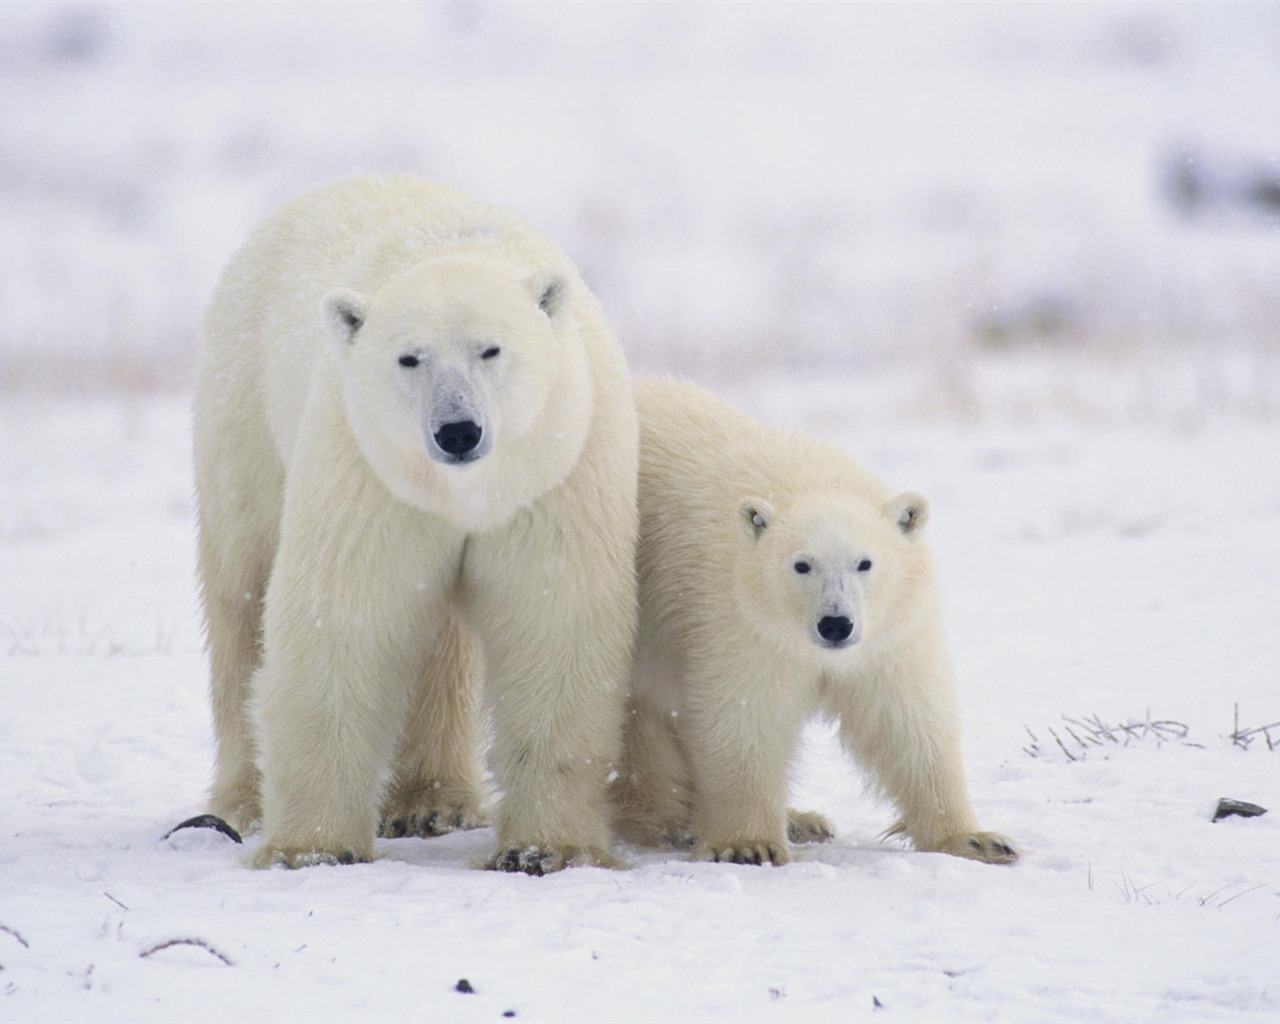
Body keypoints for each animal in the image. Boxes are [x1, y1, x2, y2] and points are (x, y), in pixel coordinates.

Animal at [192, 176, 637, 870]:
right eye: (409, 358)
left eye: (490, 348)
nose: (457, 431)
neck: (464, 492)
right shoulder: (369, 469)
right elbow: (345, 614)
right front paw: (311, 849)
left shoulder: (556, 467)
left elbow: (553, 620)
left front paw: (544, 849)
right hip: (243, 411)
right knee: (242, 594)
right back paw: (242, 802)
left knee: (441, 643)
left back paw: (433, 803)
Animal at [616, 378, 1018, 870]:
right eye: (801, 565)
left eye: (865, 562)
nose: (835, 624)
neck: (805, 482)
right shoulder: (737, 619)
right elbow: (745, 715)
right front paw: (749, 844)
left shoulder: (890, 631)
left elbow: (906, 718)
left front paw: (977, 840)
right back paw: (668, 820)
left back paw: (801, 820)